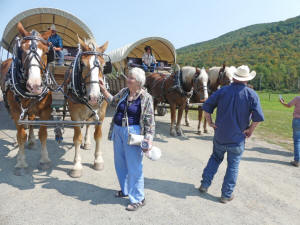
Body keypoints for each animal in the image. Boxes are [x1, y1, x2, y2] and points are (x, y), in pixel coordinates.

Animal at [0, 22, 53, 174]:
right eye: (22, 51)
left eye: (46, 52)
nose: (34, 86)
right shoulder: (16, 111)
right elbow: (21, 135)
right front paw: (21, 162)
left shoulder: (46, 110)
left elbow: (43, 133)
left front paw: (44, 159)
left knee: (31, 120)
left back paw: (32, 140)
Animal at [64, 37, 109, 178]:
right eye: (82, 64)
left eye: (104, 65)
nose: (94, 97)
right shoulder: (74, 115)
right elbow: (77, 139)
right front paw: (77, 165)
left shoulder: (101, 113)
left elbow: (98, 135)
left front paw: (98, 160)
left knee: (89, 124)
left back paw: (88, 142)